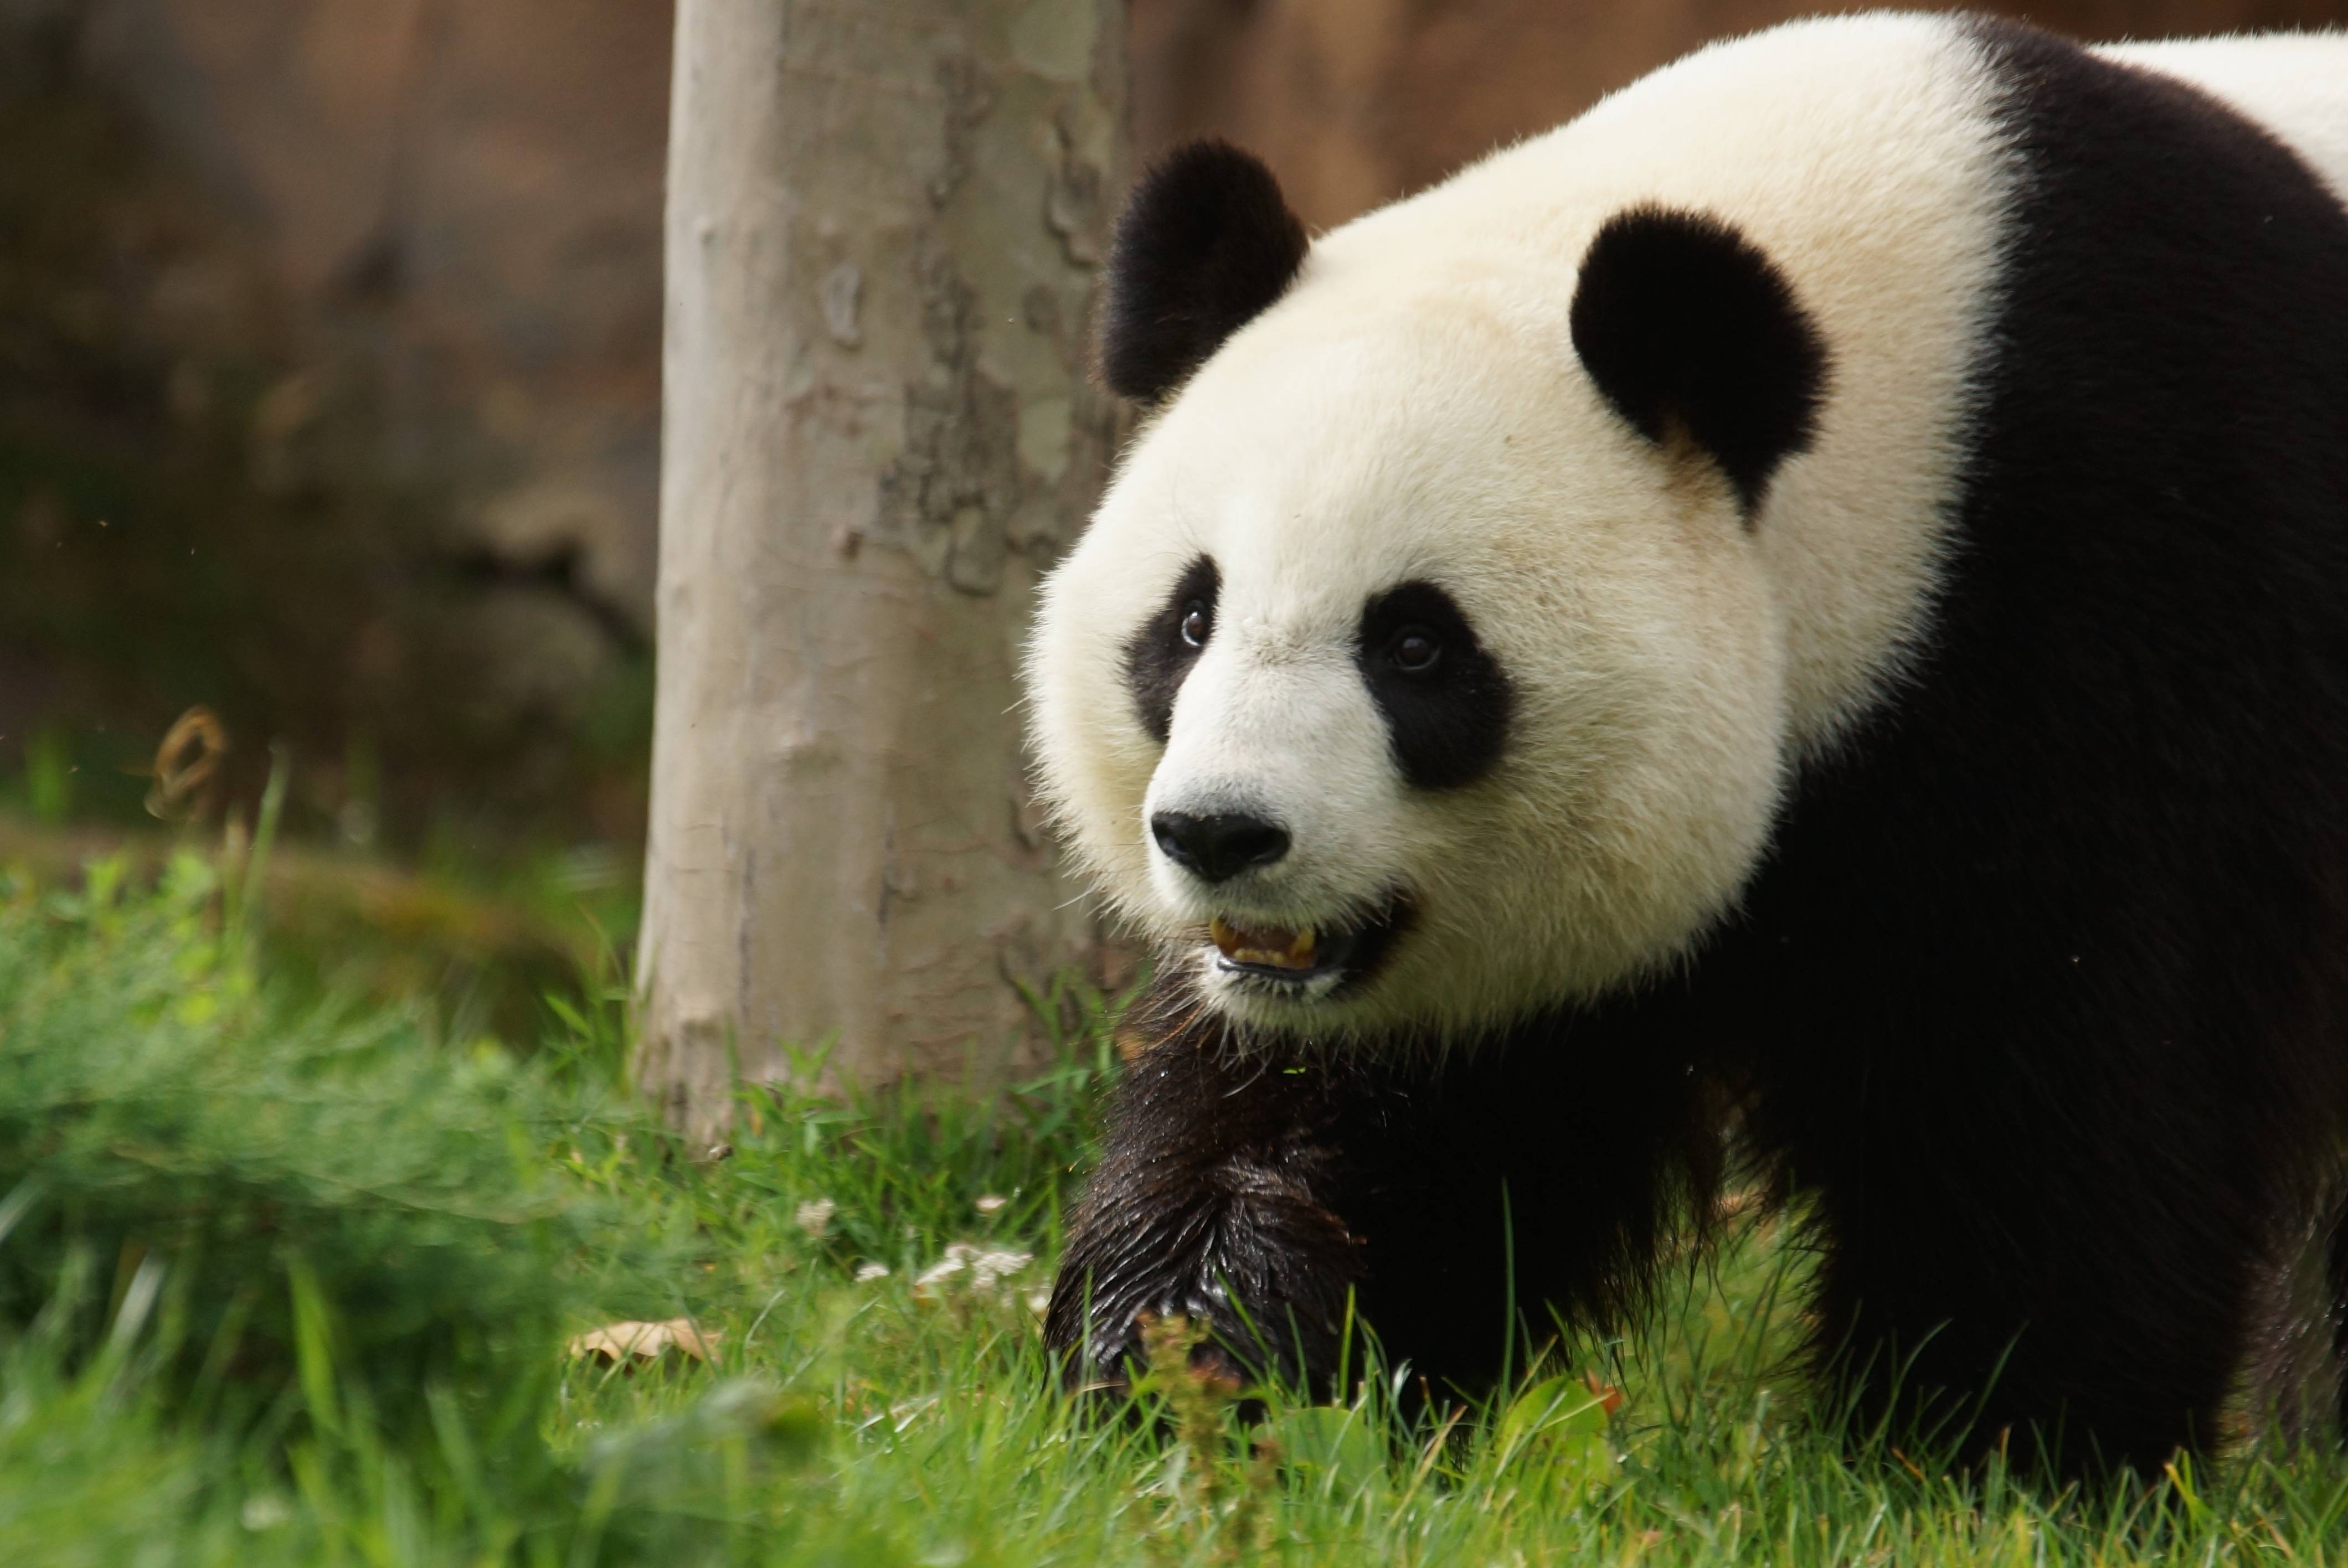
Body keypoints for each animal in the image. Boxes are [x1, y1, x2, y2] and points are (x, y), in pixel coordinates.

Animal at [1023, 12, 2348, 1474]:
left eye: (1416, 646)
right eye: (1189, 618)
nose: (1219, 832)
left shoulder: (2128, 581)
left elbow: (2071, 1074)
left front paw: (1974, 1450)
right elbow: (1386, 1110)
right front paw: (1200, 1366)